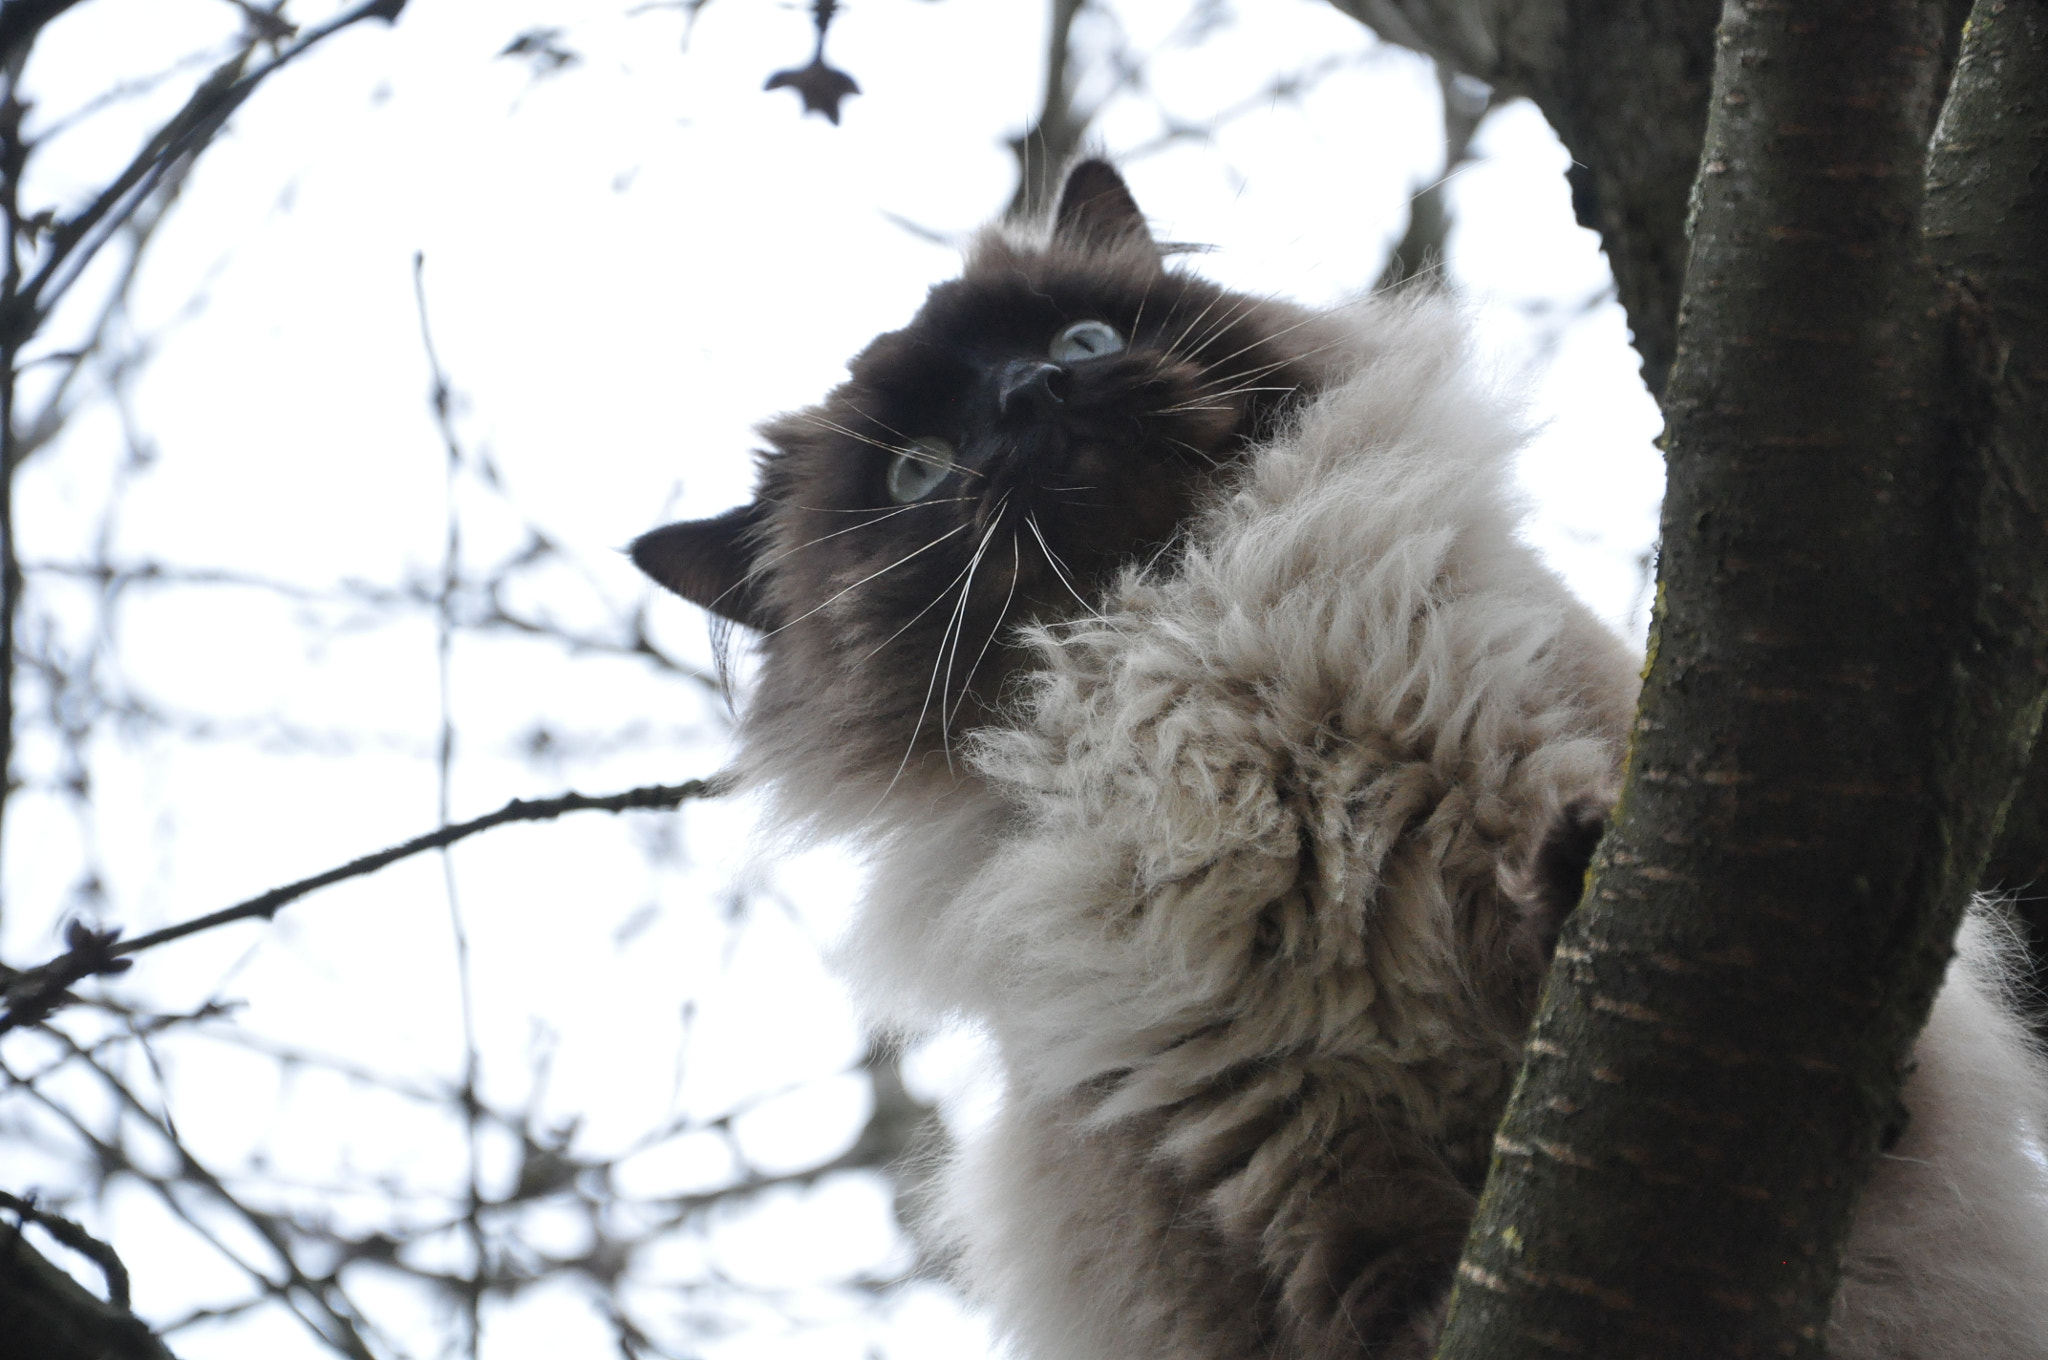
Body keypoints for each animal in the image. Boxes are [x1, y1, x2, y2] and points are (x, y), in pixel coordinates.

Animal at [630, 161, 2048, 1360]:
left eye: (1080, 341)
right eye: (917, 476)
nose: (1032, 400)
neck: (1182, 649)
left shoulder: (1549, 750)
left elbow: (1548, 889)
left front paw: (1572, 883)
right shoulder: (1258, 1105)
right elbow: (1366, 1263)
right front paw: (1417, 1322)